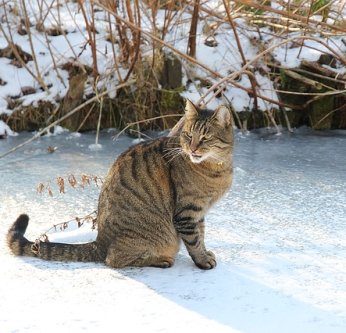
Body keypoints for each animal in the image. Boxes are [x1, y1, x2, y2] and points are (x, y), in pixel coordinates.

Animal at [6, 100, 234, 268]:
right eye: (188, 135)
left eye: (204, 138)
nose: (192, 148)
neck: (217, 167)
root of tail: (99, 242)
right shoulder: (187, 212)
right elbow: (194, 240)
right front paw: (202, 260)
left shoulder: (199, 212)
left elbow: (201, 234)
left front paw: (205, 252)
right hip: (152, 235)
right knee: (113, 259)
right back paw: (160, 259)